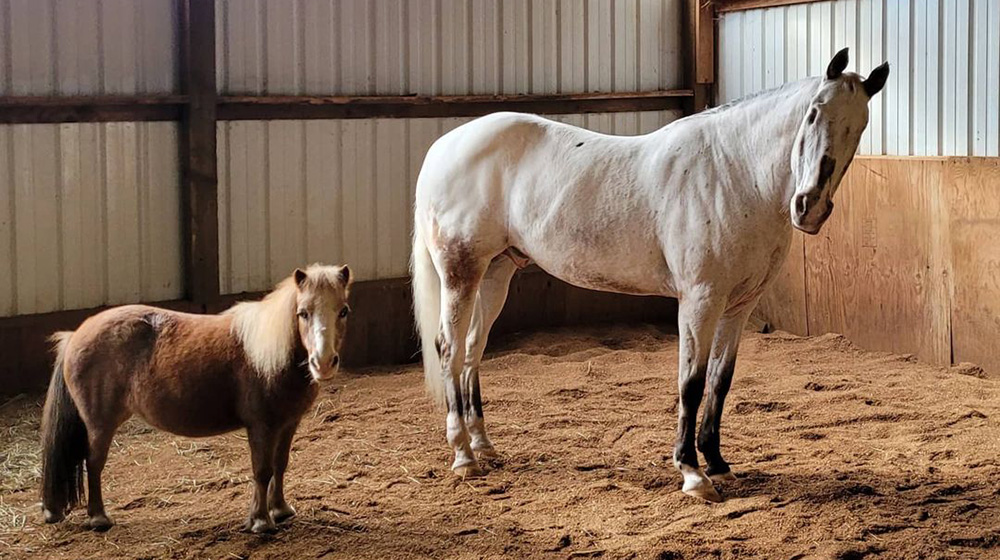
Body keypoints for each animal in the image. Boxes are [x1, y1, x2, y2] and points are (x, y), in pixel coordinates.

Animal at [41, 264, 354, 532]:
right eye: (303, 313)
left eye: (343, 311)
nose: (323, 363)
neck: (269, 356)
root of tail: (76, 335)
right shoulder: (262, 426)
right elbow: (262, 470)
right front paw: (261, 521)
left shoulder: (288, 423)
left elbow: (280, 465)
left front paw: (280, 510)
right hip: (100, 425)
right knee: (94, 463)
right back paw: (98, 518)